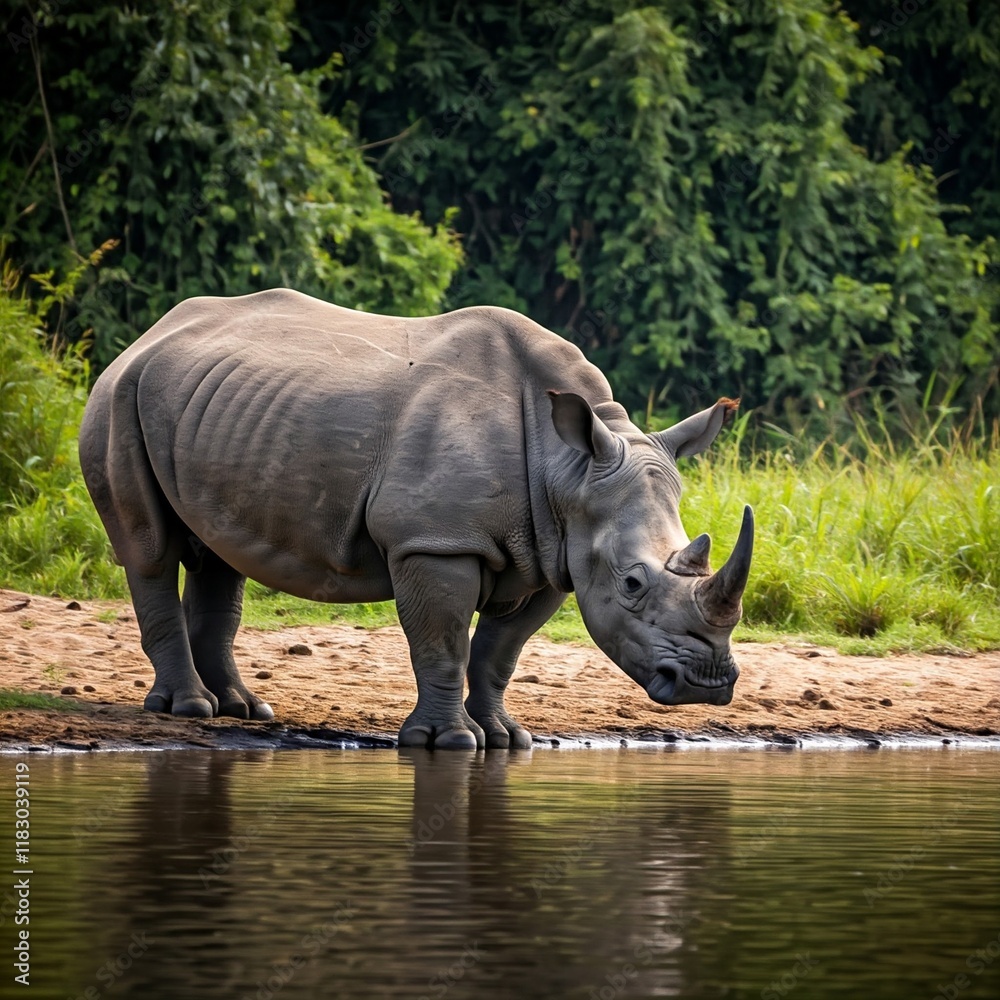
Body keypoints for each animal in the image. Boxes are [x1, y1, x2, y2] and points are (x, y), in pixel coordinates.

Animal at [79, 289, 753, 749]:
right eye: (633, 583)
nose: (707, 684)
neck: (569, 469)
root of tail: (149, 335)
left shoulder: (556, 556)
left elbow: (500, 652)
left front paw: (506, 739)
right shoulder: (435, 542)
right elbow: (443, 641)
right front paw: (448, 744)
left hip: (211, 406)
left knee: (222, 555)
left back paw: (244, 711)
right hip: (118, 396)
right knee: (150, 550)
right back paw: (190, 710)